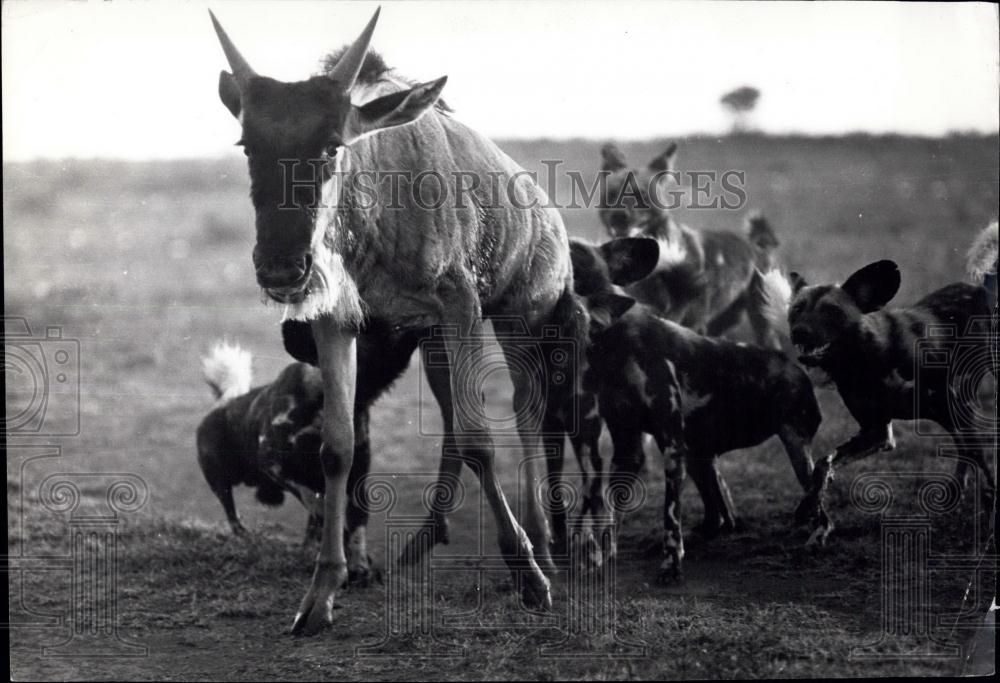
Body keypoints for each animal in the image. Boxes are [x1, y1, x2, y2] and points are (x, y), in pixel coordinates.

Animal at [572, 238, 820, 580]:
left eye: (574, 251)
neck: (616, 343)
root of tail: (790, 360)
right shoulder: (629, 447)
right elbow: (612, 512)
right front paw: (606, 557)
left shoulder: (671, 446)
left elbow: (670, 514)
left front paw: (670, 566)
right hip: (700, 456)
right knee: (720, 517)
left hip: (794, 448)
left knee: (818, 497)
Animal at [596, 142, 784, 350]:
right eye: (611, 195)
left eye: (641, 196)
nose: (618, 216)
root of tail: (757, 245)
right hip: (723, 322)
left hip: (761, 322)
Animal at [788, 222, 992, 544]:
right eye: (797, 310)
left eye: (832, 312)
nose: (799, 332)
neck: (863, 362)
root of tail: (980, 287)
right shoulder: (877, 433)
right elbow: (823, 463)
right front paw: (810, 509)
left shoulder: (943, 405)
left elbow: (981, 459)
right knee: (963, 449)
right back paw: (956, 491)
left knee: (971, 447)